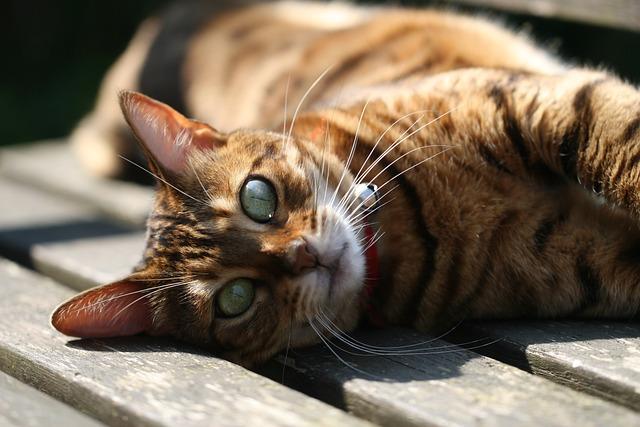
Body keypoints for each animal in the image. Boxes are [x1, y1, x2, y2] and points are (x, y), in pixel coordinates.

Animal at [51, 0, 640, 368]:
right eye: (235, 299)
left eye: (257, 197)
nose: (304, 256)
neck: (410, 222)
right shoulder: (585, 259)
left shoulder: (538, 103)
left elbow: (622, 145)